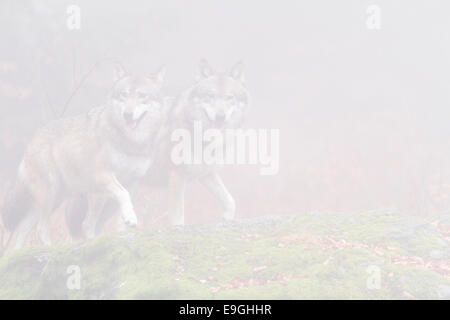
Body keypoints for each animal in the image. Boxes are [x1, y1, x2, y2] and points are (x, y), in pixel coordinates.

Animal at [1, 65, 167, 249]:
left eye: (142, 96)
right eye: (124, 95)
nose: (128, 114)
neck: (132, 143)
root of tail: (31, 141)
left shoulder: (132, 183)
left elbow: (119, 218)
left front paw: (123, 233)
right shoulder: (103, 176)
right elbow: (123, 196)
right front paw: (131, 218)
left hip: (64, 199)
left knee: (23, 229)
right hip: (54, 194)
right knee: (45, 228)